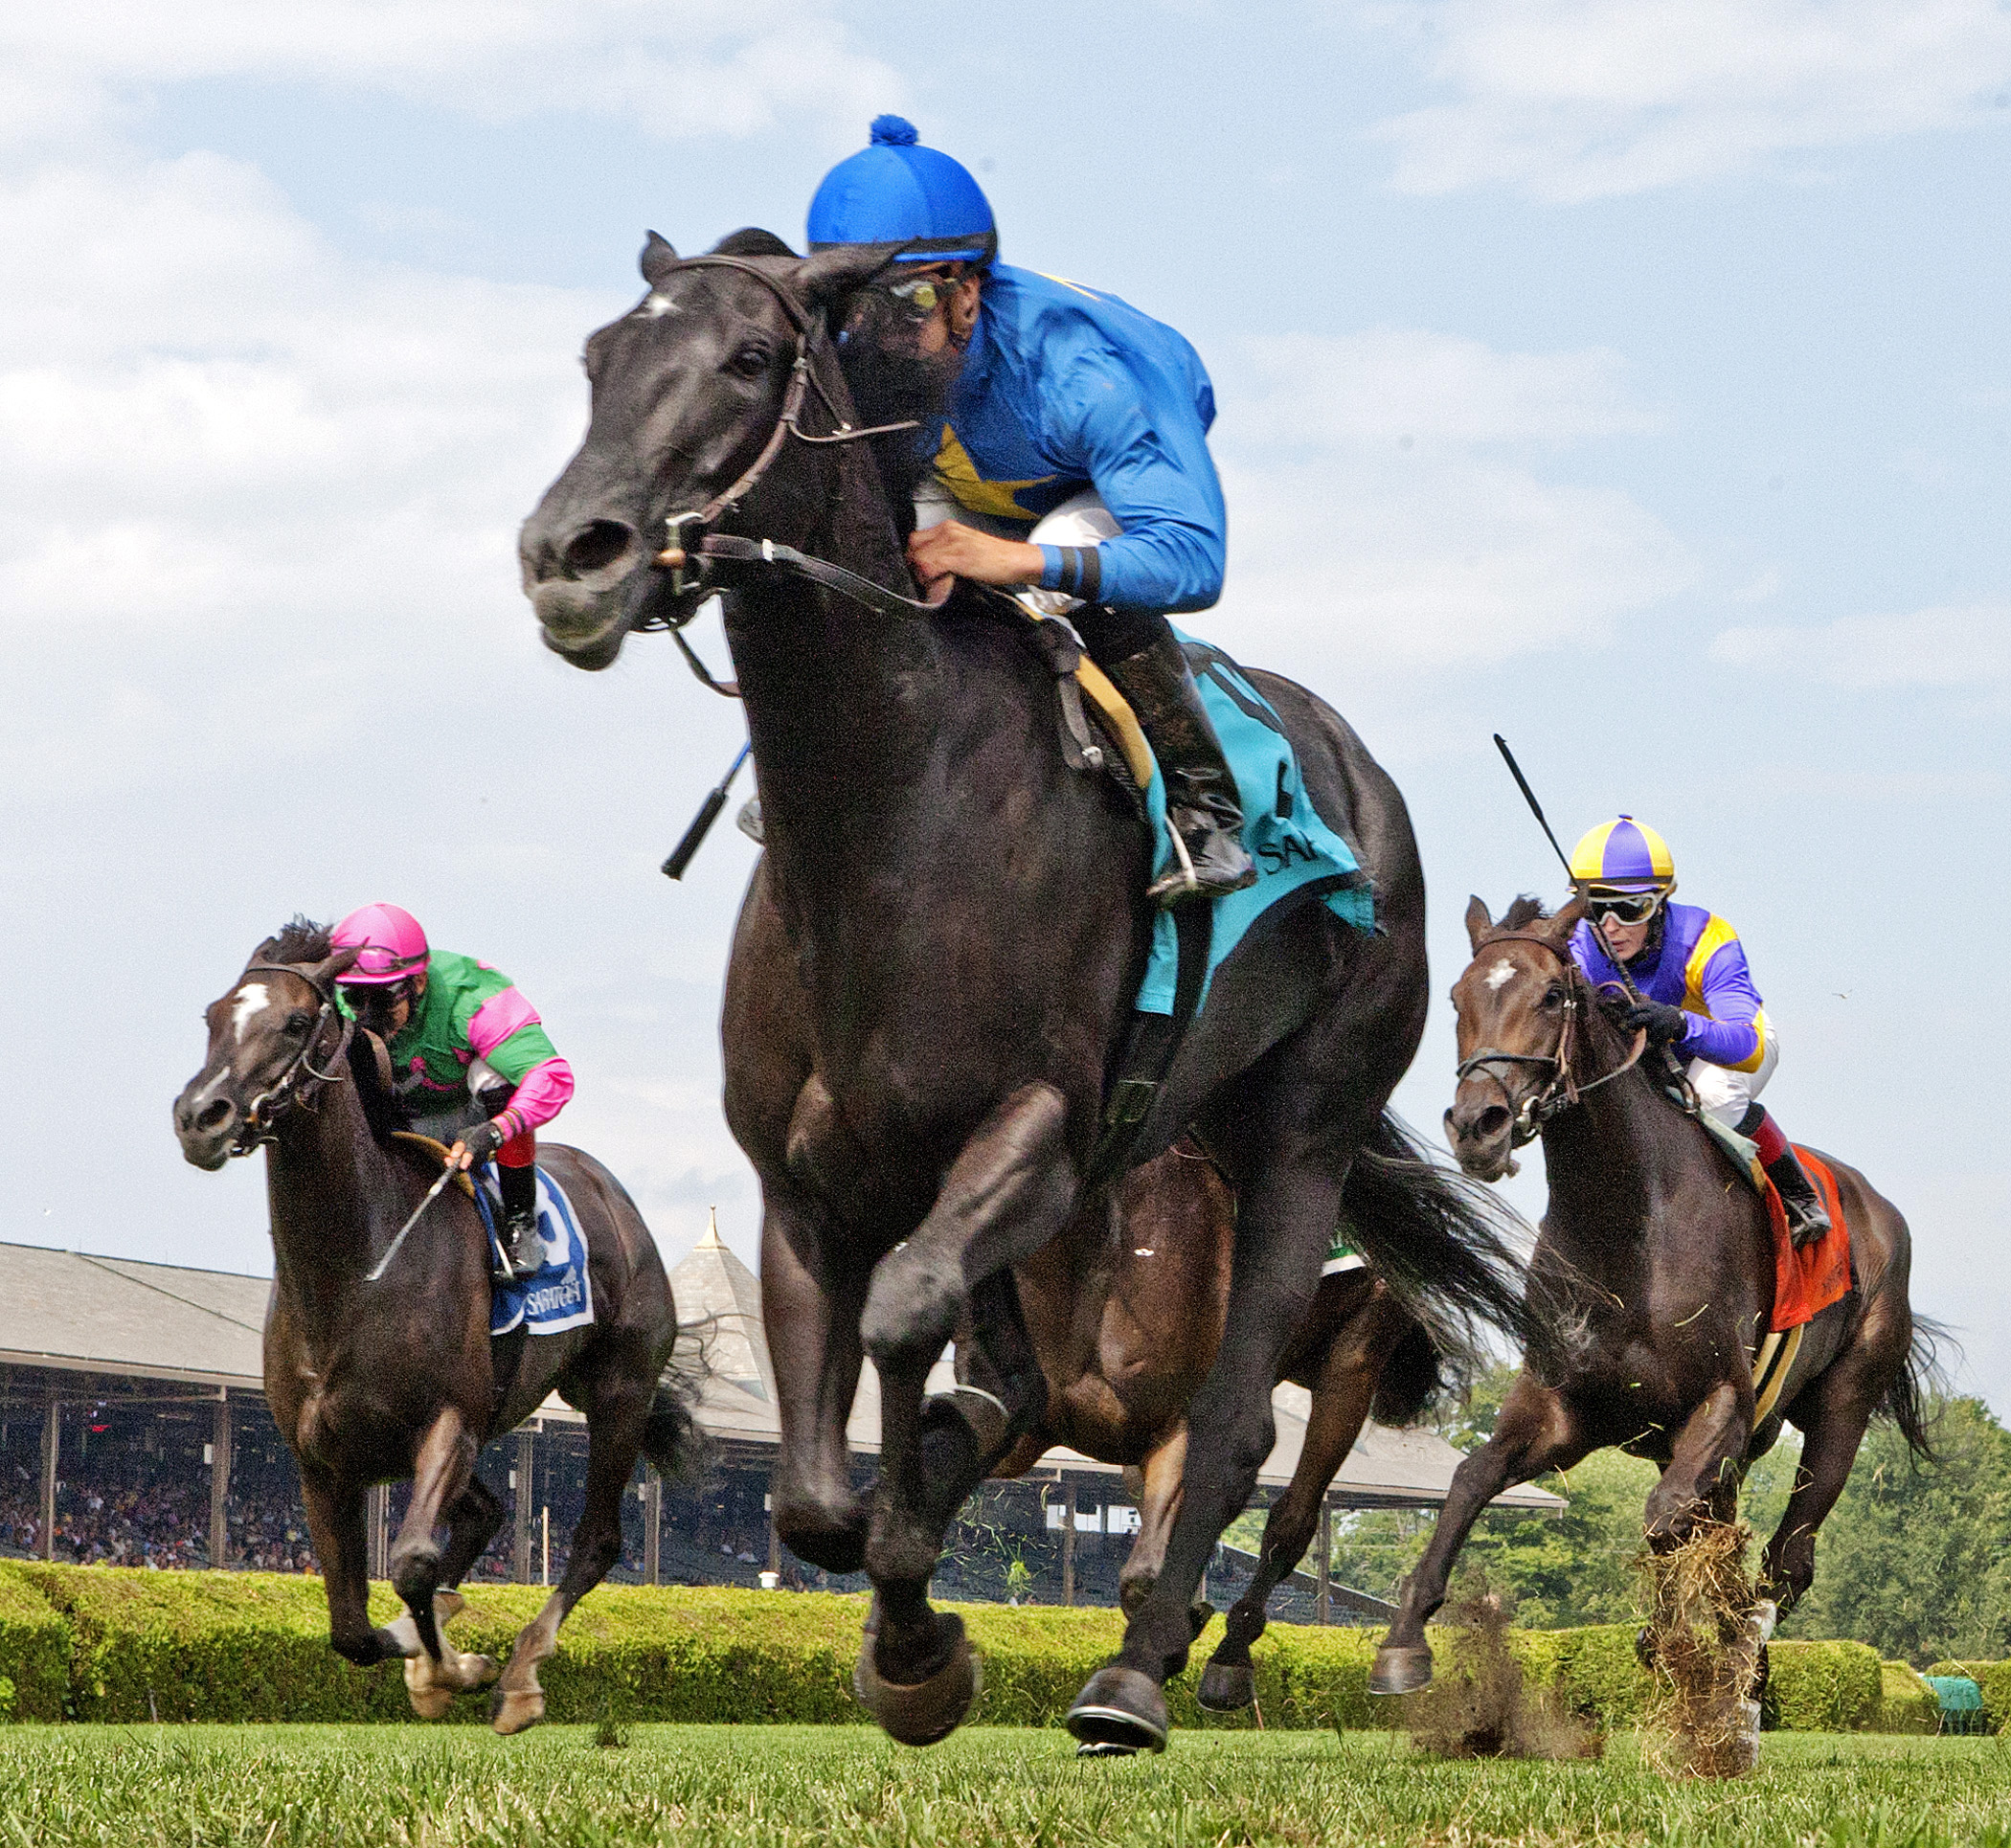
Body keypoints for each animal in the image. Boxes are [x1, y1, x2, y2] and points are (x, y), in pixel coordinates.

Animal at [172, 919, 695, 1733]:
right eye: (212, 1017)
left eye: (295, 1021)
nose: (201, 1117)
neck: (355, 1271)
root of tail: (612, 1193)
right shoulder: (320, 1458)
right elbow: (351, 1628)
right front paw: (427, 1654)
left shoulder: (449, 1421)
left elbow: (411, 1562)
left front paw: (461, 1666)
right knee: (485, 1512)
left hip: (619, 1393)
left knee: (595, 1542)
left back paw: (520, 1675)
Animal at [519, 229, 1526, 1752]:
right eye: (596, 358)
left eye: (748, 359)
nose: (569, 556)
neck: (888, 821)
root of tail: (1361, 771)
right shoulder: (800, 1182)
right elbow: (815, 1491)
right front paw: (912, 1615)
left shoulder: (1043, 1131)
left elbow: (906, 1325)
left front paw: (922, 1632)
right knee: (1042, 1387)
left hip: (1299, 1135)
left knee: (1233, 1428)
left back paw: (1139, 1676)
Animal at [1369, 895, 1936, 1701]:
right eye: (1457, 997)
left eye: (1552, 995)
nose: (1478, 1125)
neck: (1628, 1227)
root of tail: (1878, 1208)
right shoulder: (1563, 1405)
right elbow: (1471, 1478)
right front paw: (1404, 1642)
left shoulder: (1722, 1402)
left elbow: (1665, 1520)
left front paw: (1676, 1640)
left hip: (1841, 1407)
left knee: (1787, 1559)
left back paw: (1744, 1659)